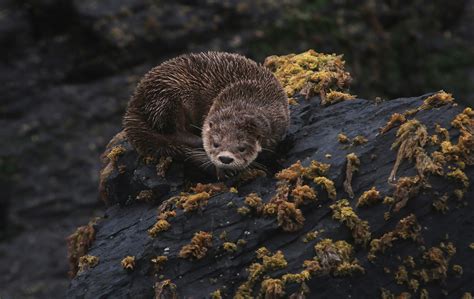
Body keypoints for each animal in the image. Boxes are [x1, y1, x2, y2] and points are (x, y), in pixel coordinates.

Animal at [123, 51, 288, 178]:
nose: (225, 159)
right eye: (215, 144)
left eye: (242, 148)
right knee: (172, 130)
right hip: (166, 97)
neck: (247, 96)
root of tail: (132, 110)